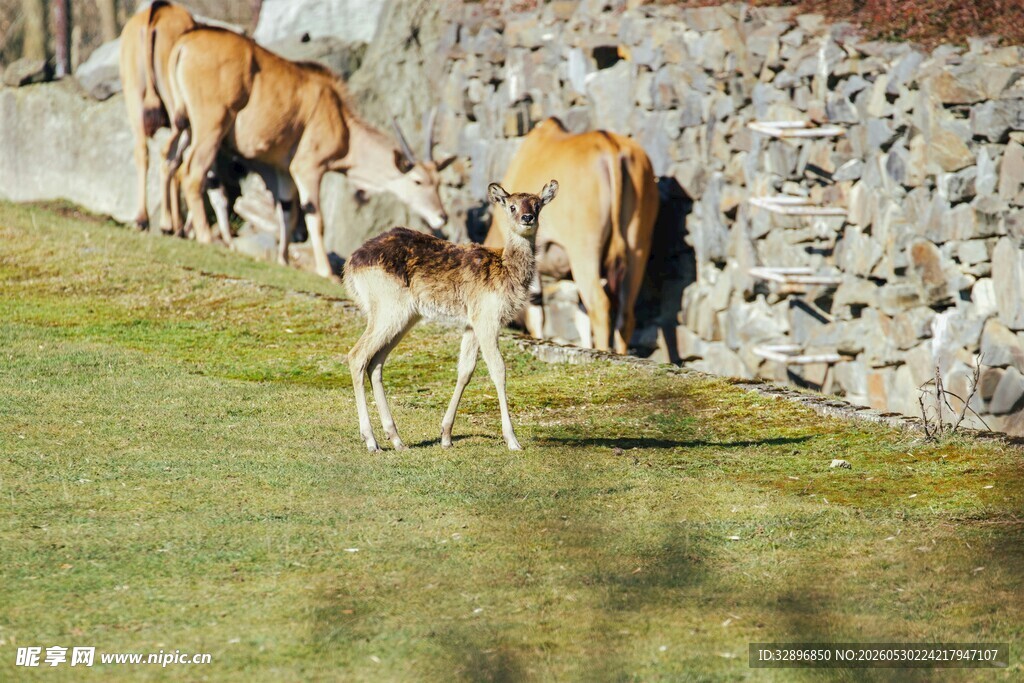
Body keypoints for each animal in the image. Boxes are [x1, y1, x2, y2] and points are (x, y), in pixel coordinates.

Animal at [345, 180, 559, 452]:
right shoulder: (487, 316)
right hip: (388, 308)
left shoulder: (471, 322)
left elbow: (465, 371)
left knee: (375, 362)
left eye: (537, 204)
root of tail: (350, 266)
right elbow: (498, 370)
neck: (507, 273)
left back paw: (396, 439)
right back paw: (371, 440)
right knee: (357, 355)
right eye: (511, 206)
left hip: (404, 316)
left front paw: (446, 435)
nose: (527, 217)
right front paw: (512, 440)